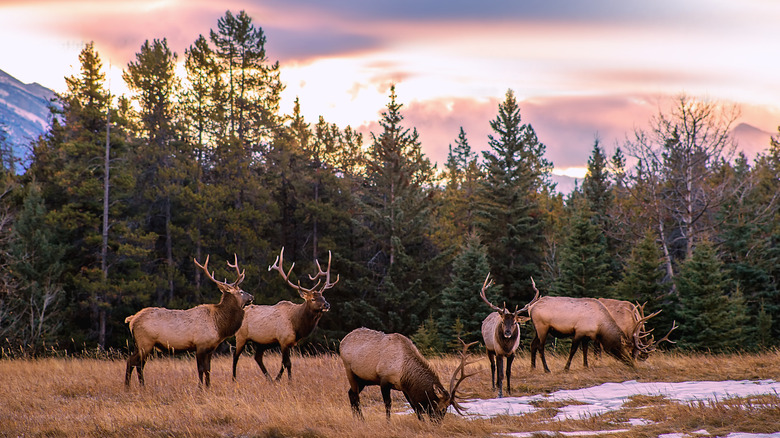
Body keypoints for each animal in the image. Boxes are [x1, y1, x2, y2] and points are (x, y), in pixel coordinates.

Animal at [124, 255, 253, 388]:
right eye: (241, 291)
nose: (252, 297)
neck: (219, 326)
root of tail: (132, 320)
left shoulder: (210, 348)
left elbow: (208, 369)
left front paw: (208, 386)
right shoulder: (200, 345)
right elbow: (201, 369)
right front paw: (200, 388)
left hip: (139, 344)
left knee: (132, 361)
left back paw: (130, 386)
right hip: (146, 342)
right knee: (137, 364)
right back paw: (138, 386)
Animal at [235, 248, 338, 382]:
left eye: (323, 297)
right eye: (313, 299)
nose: (327, 304)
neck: (297, 325)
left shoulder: (289, 343)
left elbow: (284, 363)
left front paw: (278, 379)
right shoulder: (283, 340)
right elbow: (287, 363)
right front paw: (289, 382)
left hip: (261, 343)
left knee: (257, 358)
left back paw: (269, 379)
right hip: (241, 336)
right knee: (235, 357)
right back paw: (234, 378)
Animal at [340, 326, 476, 422]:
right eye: (443, 409)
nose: (437, 423)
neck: (404, 370)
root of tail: (342, 340)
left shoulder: (405, 387)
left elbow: (414, 407)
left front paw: (422, 422)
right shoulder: (384, 380)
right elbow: (388, 404)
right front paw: (388, 423)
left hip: (362, 379)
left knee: (351, 393)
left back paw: (357, 419)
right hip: (349, 370)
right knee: (355, 396)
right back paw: (361, 420)